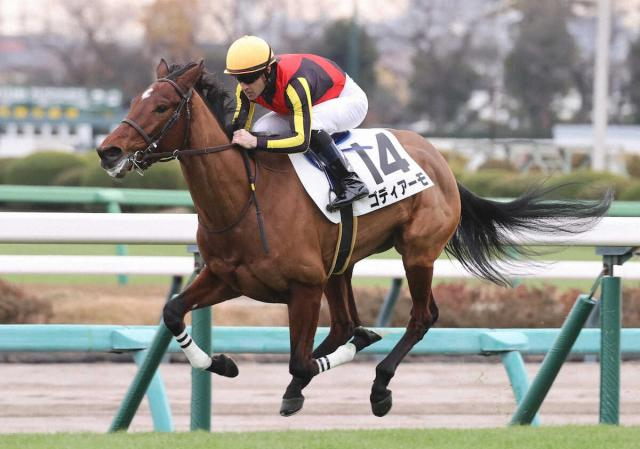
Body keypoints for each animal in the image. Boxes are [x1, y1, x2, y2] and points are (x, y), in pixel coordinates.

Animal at [97, 59, 611, 417]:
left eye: (161, 106)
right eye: (133, 102)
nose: (109, 151)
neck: (246, 195)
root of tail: (441, 161)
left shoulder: (302, 287)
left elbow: (302, 359)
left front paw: (342, 361)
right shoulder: (227, 278)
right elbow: (172, 312)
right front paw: (222, 363)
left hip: (416, 253)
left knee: (420, 316)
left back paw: (380, 385)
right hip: (340, 264)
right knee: (343, 324)